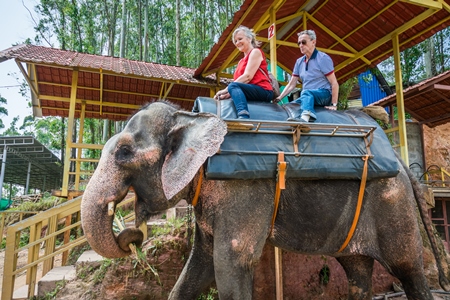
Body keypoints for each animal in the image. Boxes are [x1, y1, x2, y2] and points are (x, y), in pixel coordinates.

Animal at [81, 101, 450, 300]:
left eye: (124, 152)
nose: (133, 237)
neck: (190, 116)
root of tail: (400, 158)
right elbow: (199, 264)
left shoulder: (244, 192)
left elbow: (229, 263)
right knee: (357, 270)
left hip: (393, 202)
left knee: (408, 269)